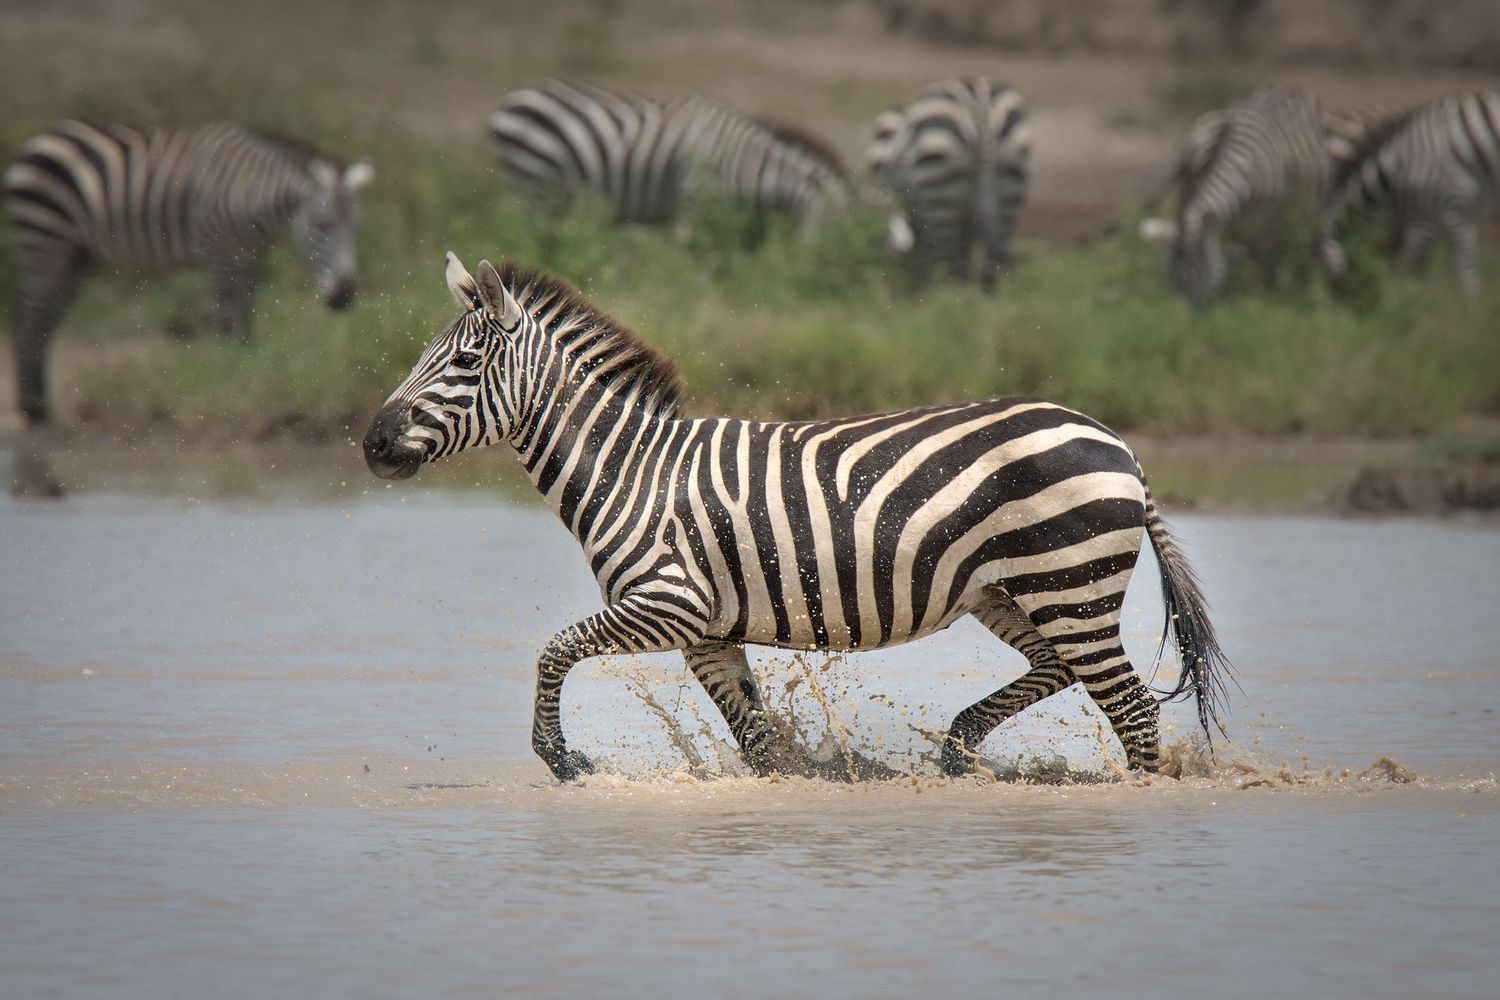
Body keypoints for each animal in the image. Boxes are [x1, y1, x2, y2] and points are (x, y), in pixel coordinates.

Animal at [4, 120, 372, 425]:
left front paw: (247, 364)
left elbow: (246, 316)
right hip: (45, 235)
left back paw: (41, 402)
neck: (252, 190)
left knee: (47, 320)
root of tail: (37, 140)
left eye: (356, 226)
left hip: (79, 254)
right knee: (26, 315)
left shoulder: (251, 257)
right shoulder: (219, 249)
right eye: (322, 224)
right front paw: (229, 370)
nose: (344, 297)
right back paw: (31, 408)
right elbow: (227, 316)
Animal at [362, 252, 1231, 782]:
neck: (629, 470)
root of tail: (1120, 446)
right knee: (1062, 669)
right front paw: (804, 786)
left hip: (1067, 582)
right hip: (1010, 590)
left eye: (463, 362)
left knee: (1130, 709)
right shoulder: (709, 631)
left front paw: (560, 758)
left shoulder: (670, 604)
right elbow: (758, 739)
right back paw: (958, 748)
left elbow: (554, 648)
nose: (371, 441)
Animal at [866, 78, 1031, 290]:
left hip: (938, 193)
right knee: (991, 268)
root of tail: (979, 104)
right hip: (1010, 184)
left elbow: (926, 260)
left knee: (949, 268)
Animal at [1152, 85, 1329, 307]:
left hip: (1308, 204)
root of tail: (1283, 90)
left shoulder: (1267, 220)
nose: (1178, 312)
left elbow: (1265, 257)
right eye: (1172, 278)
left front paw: (1264, 296)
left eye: (1198, 274)